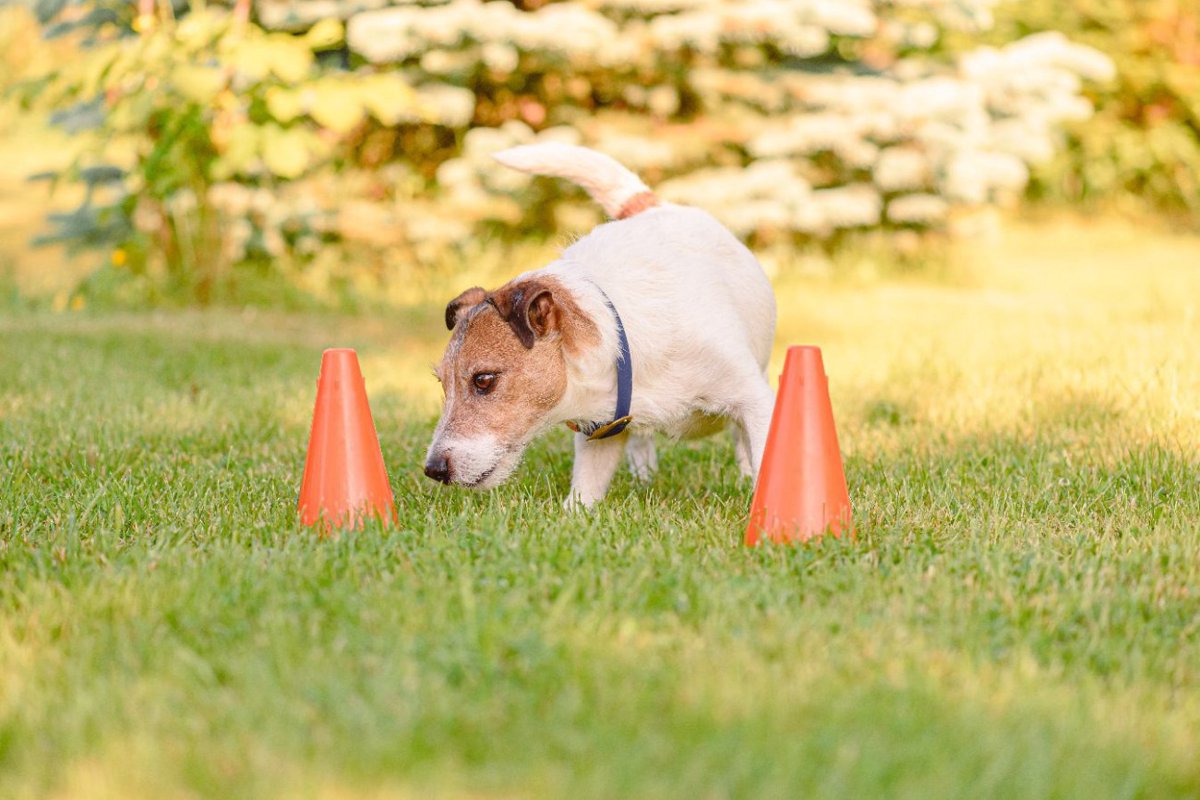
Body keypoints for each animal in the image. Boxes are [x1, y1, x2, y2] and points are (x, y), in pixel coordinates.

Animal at [422, 142, 777, 506]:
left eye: (484, 380)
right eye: (443, 384)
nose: (434, 469)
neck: (621, 343)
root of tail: (654, 206)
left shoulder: (755, 402)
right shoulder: (603, 431)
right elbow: (584, 493)